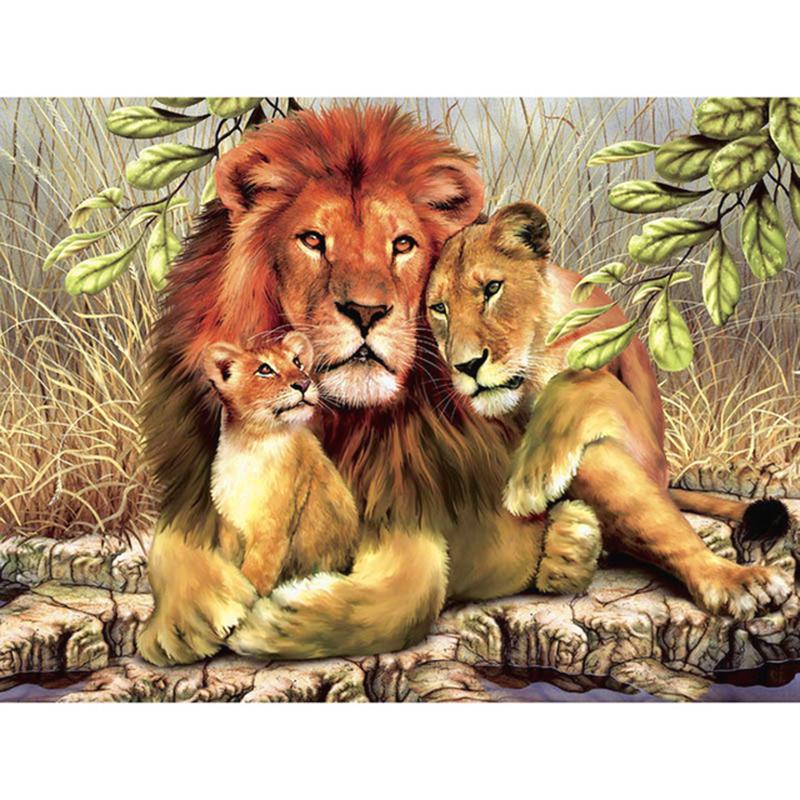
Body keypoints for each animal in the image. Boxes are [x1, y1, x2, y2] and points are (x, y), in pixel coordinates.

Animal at [425, 201, 793, 620]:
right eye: (439, 309)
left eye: (492, 288)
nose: (467, 366)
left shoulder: (643, 437)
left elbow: (580, 378)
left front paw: (531, 481)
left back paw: (735, 580)